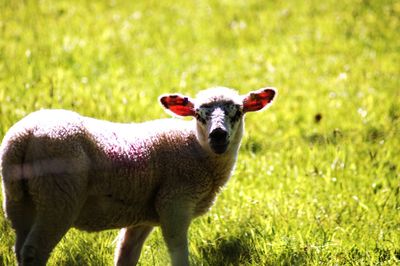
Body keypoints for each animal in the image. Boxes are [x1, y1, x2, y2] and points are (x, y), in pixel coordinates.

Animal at [0, 86, 276, 264]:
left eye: (237, 112)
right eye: (198, 114)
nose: (218, 136)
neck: (196, 150)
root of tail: (23, 136)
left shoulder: (144, 215)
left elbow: (126, 255)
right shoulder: (175, 204)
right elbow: (179, 256)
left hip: (19, 199)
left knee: (20, 248)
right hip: (58, 197)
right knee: (34, 252)